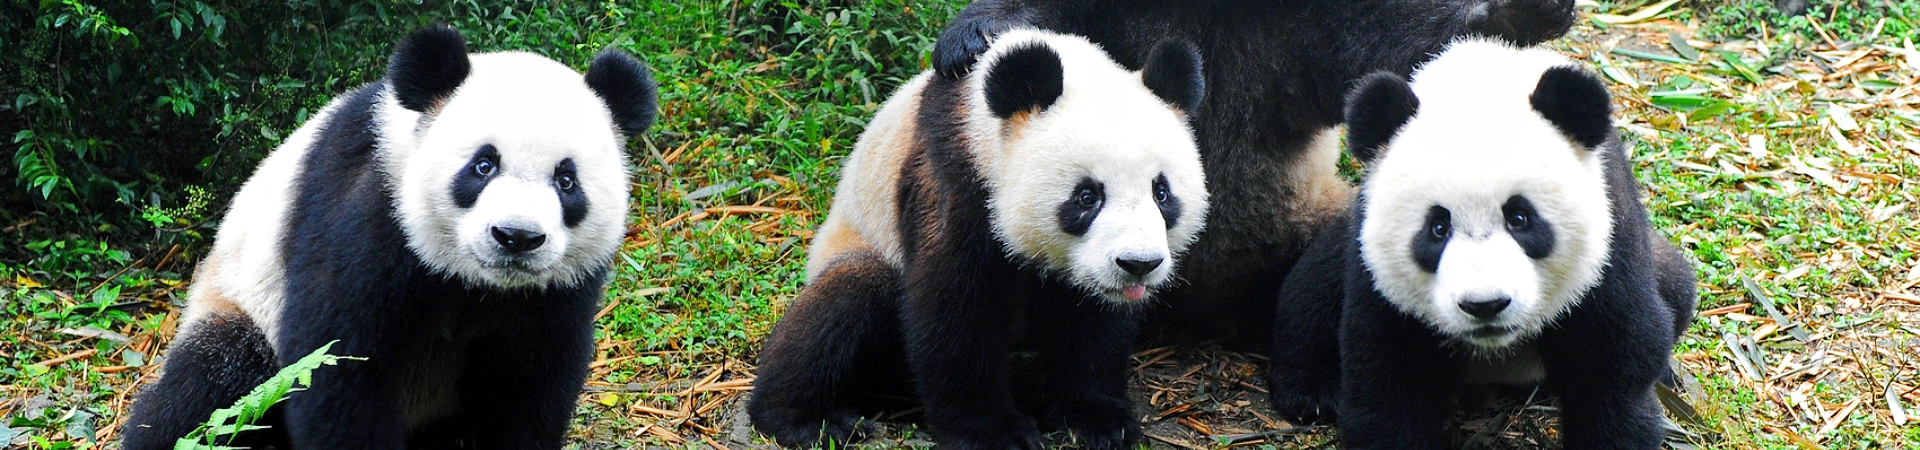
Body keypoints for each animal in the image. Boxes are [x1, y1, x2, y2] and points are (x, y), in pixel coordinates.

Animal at [121, 26, 657, 449]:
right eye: (483, 165)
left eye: (566, 180)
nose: (516, 237)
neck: (477, 284)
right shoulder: (368, 214)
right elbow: (338, 367)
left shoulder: (557, 290)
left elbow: (528, 385)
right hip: (239, 300)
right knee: (212, 389)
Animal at [749, 29, 1208, 449]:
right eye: (1087, 197)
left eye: (1161, 192)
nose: (1138, 264)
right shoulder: (955, 178)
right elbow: (953, 307)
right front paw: (995, 433)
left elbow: (1093, 323)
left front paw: (1096, 419)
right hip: (858, 245)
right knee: (847, 298)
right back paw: (807, 419)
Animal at [1263, 40, 1698, 448]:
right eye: (1438, 228)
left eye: (1520, 219)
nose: (1485, 305)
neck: (1481, 84)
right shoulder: (1378, 279)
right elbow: (1387, 377)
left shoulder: (1610, 246)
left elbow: (1614, 364)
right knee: (1313, 290)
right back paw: (1311, 391)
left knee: (1677, 285)